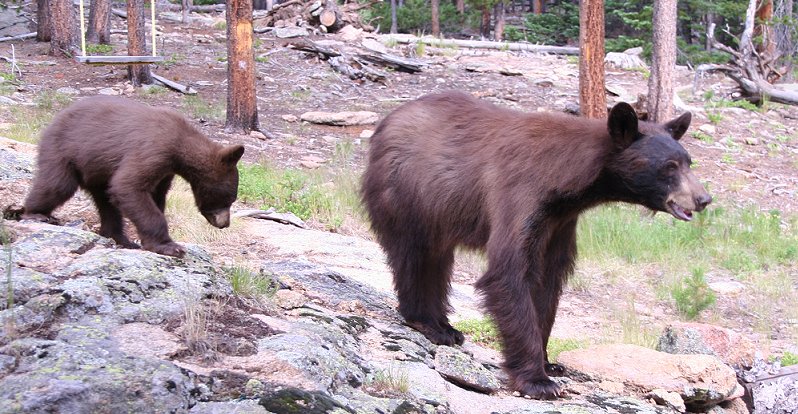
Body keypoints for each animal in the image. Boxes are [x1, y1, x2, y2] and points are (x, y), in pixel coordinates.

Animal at [23, 97, 245, 258]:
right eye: (229, 199)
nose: (225, 223)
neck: (181, 144)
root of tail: (56, 118)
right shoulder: (153, 150)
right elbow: (129, 186)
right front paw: (170, 246)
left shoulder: (165, 172)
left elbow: (154, 197)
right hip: (63, 150)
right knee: (57, 184)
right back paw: (35, 213)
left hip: (98, 172)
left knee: (106, 203)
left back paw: (121, 239)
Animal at [362, 90, 712, 398]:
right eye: (669, 166)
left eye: (688, 162)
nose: (704, 199)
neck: (568, 183)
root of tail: (387, 121)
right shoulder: (521, 193)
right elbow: (510, 272)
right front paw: (537, 381)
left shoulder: (560, 222)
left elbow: (549, 282)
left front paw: (549, 363)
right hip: (407, 191)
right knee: (415, 255)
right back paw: (426, 322)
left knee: (437, 259)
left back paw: (445, 326)